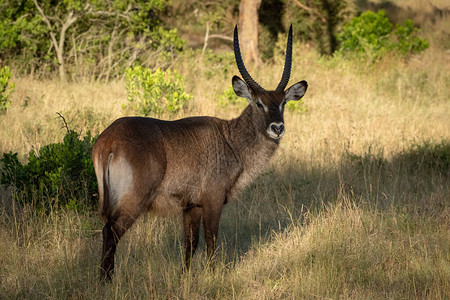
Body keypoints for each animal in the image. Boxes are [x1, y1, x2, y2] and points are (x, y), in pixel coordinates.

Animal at [93, 24, 308, 280]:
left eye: (283, 103)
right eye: (259, 103)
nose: (277, 128)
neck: (231, 140)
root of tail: (108, 140)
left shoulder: (191, 206)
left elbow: (190, 243)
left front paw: (184, 276)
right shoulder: (213, 199)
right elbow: (211, 239)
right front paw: (213, 275)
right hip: (133, 200)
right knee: (111, 232)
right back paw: (106, 280)